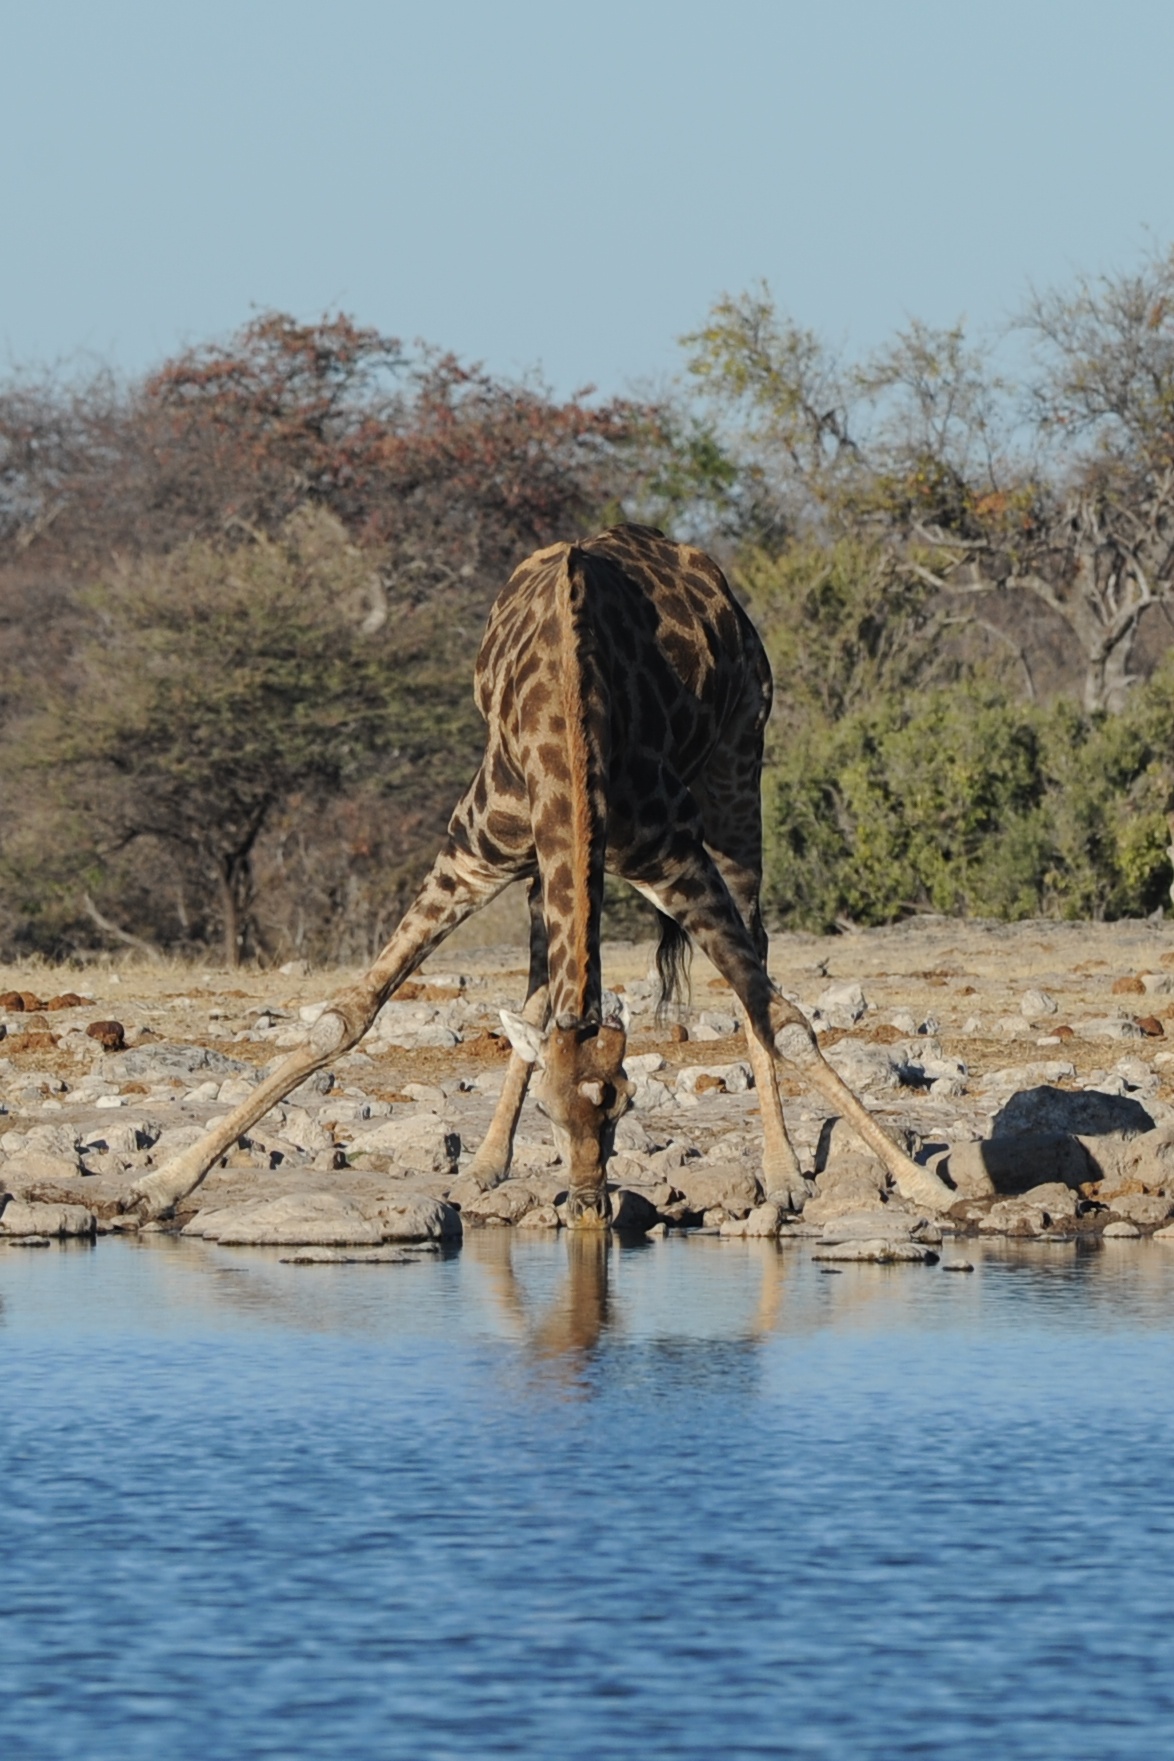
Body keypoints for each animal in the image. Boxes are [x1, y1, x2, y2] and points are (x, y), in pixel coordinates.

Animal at [126, 523, 953, 1227]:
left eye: (623, 1104)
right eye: (555, 1113)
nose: (588, 1205)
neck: (567, 721)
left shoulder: (674, 856)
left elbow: (782, 1019)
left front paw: (921, 1184)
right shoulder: (468, 856)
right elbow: (345, 1017)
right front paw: (162, 1182)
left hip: (737, 770)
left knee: (754, 958)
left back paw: (780, 1175)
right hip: (542, 870)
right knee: (534, 989)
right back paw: (485, 1163)